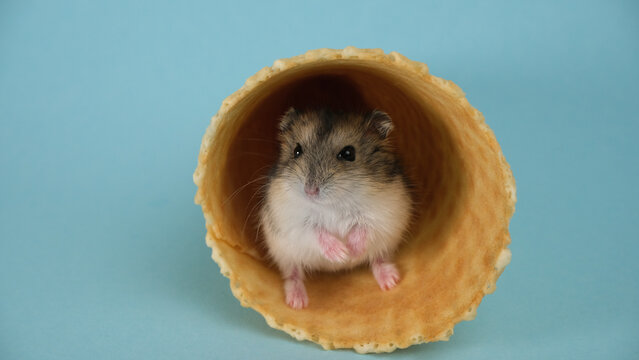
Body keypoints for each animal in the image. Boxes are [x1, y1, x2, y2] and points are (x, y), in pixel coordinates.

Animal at [262, 107, 416, 310]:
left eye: (348, 153)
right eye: (297, 151)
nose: (310, 191)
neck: (333, 203)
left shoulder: (384, 212)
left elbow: (363, 226)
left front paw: (352, 253)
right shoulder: (292, 222)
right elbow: (315, 231)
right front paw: (341, 254)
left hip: (386, 243)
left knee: (378, 258)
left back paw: (391, 281)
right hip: (284, 253)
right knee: (292, 274)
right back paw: (297, 303)